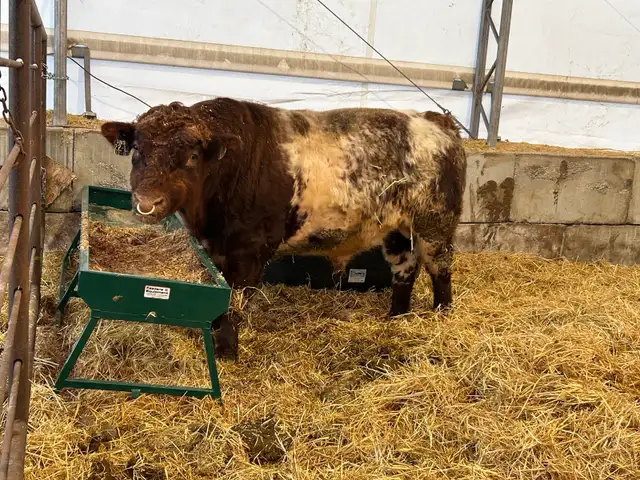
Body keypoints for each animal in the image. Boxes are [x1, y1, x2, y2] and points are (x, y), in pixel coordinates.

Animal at [100, 97, 467, 360]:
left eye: (192, 156)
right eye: (136, 150)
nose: (147, 202)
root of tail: (434, 120)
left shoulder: (251, 249)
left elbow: (235, 298)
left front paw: (227, 350)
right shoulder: (216, 248)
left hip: (435, 223)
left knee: (440, 268)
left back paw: (442, 315)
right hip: (396, 229)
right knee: (405, 268)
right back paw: (396, 317)